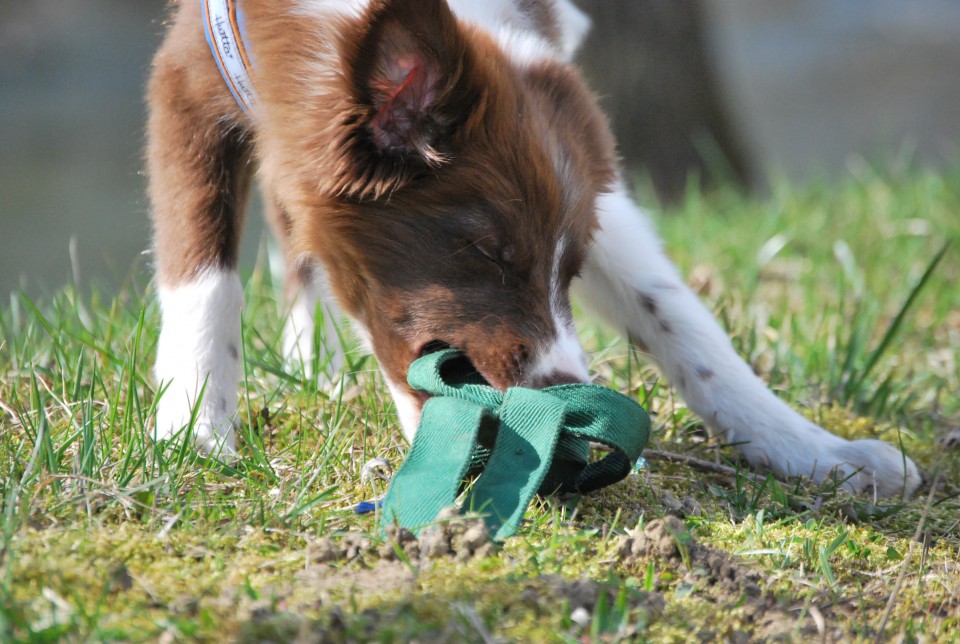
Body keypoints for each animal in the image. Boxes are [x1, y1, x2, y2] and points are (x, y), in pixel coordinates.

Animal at [148, 0, 924, 498]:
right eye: (490, 252)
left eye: (569, 267)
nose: (559, 392)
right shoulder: (188, 77)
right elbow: (203, 276)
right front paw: (193, 428)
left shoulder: (602, 198)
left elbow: (677, 316)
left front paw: (816, 451)